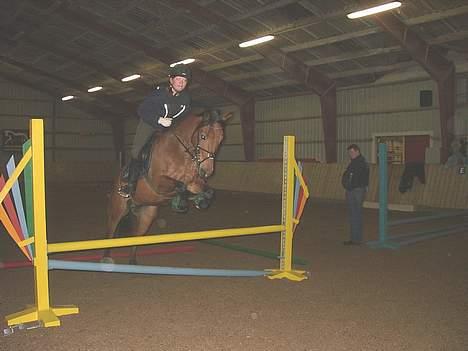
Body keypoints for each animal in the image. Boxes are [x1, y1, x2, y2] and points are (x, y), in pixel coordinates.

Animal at [103, 110, 232, 264]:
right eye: (203, 136)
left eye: (221, 139)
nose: (207, 171)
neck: (180, 152)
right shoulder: (158, 183)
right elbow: (180, 186)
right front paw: (180, 204)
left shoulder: (193, 183)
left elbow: (208, 191)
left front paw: (200, 201)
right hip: (118, 209)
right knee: (110, 231)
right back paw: (106, 259)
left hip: (147, 213)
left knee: (137, 235)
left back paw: (132, 262)